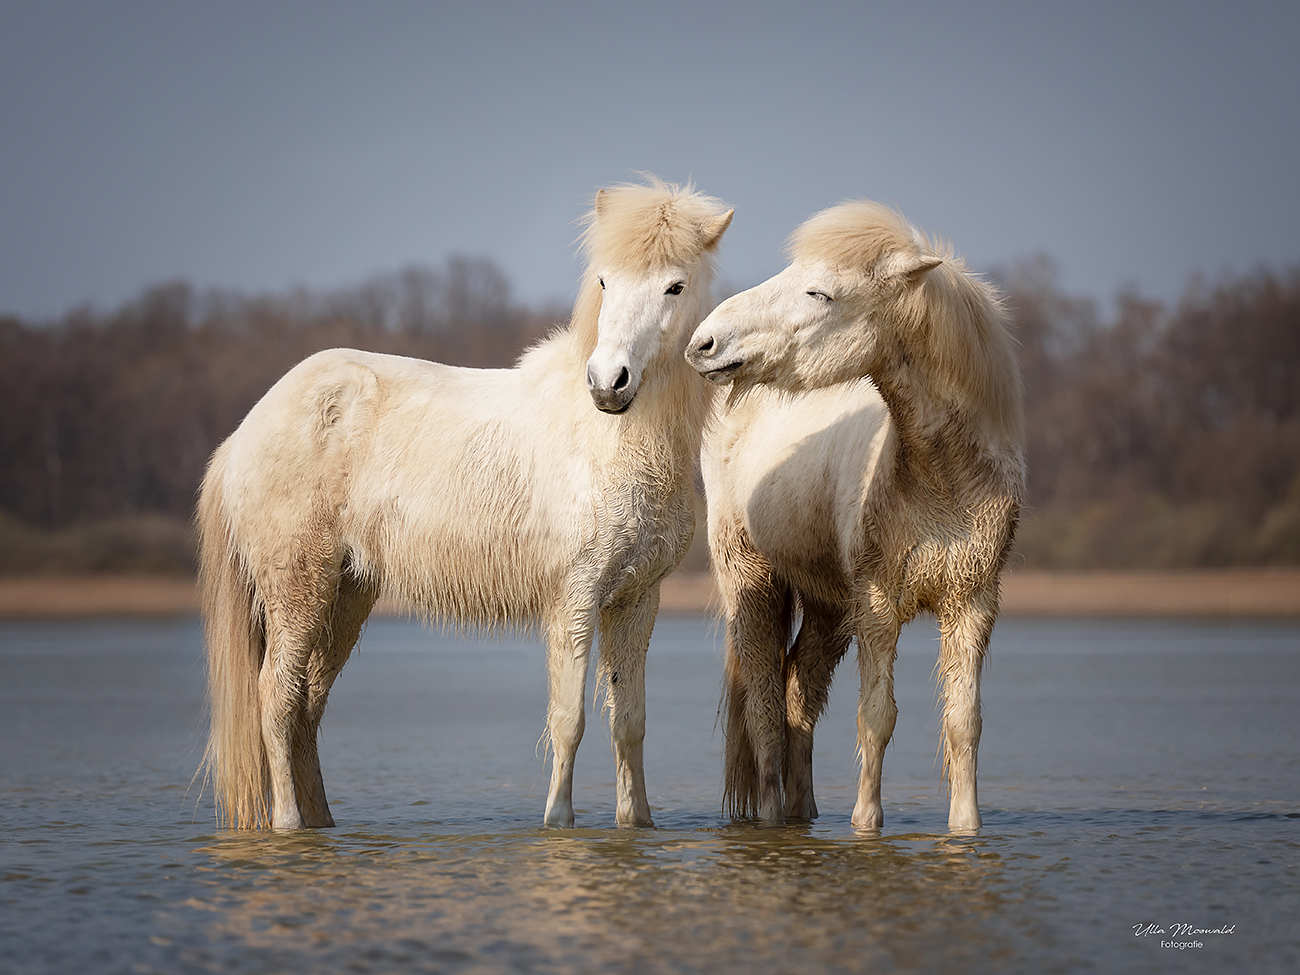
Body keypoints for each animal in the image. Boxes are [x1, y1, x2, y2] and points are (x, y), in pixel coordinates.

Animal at [201, 178, 733, 832]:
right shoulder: (575, 597)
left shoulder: (638, 599)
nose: (609, 383)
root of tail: (246, 431)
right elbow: (569, 719)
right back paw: (289, 823)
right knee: (275, 697)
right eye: (606, 281)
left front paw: (638, 825)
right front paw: (558, 822)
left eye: (675, 286)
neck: (612, 439)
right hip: (296, 588)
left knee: (308, 703)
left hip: (346, 594)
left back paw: (322, 820)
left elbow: (628, 721)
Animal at [691, 202, 1024, 826]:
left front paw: (966, 828)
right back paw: (772, 817)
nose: (705, 342)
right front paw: (867, 825)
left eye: (820, 293)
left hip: (827, 606)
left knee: (798, 693)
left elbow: (964, 723)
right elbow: (877, 718)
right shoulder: (877, 607)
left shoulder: (972, 603)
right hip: (754, 584)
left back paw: (803, 812)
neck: (942, 480)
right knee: (765, 708)